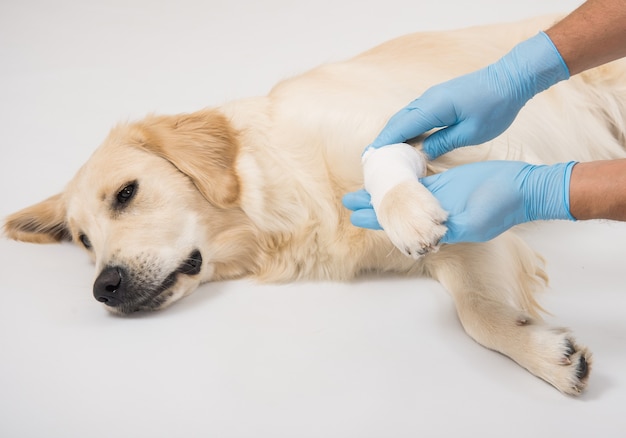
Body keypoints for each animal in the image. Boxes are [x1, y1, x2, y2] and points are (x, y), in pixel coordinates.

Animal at [3, 15, 624, 396]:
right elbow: (478, 312)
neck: (279, 203)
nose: (103, 286)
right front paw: (544, 350)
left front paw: (404, 209)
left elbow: (385, 164)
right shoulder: (466, 234)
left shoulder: (413, 137)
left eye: (127, 193)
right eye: (83, 241)